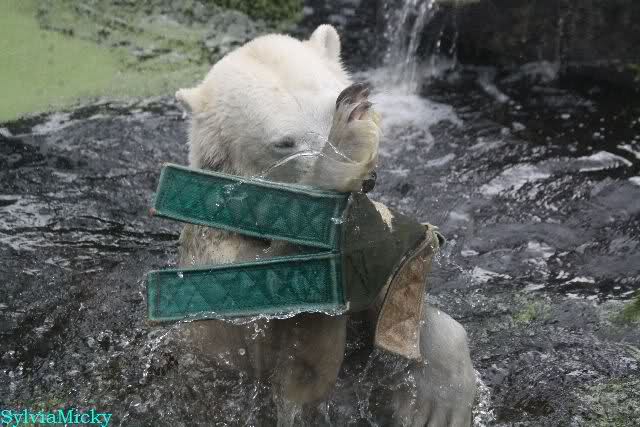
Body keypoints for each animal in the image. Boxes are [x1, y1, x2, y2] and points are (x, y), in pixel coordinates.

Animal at [175, 24, 475, 425]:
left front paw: (438, 402)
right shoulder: (224, 290)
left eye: (334, 101)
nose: (368, 180)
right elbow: (298, 361)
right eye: (284, 142)